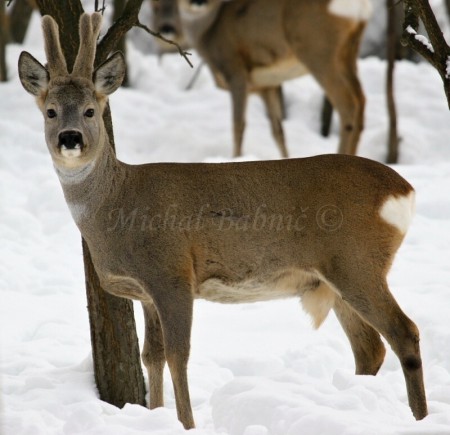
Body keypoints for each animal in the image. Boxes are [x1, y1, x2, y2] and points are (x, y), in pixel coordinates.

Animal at [177, 0, 371, 158]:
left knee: (348, 104)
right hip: (349, 52)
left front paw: (236, 157)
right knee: (361, 100)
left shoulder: (236, 72)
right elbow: (278, 131)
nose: (198, 2)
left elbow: (238, 125)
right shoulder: (267, 86)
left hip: (318, 49)